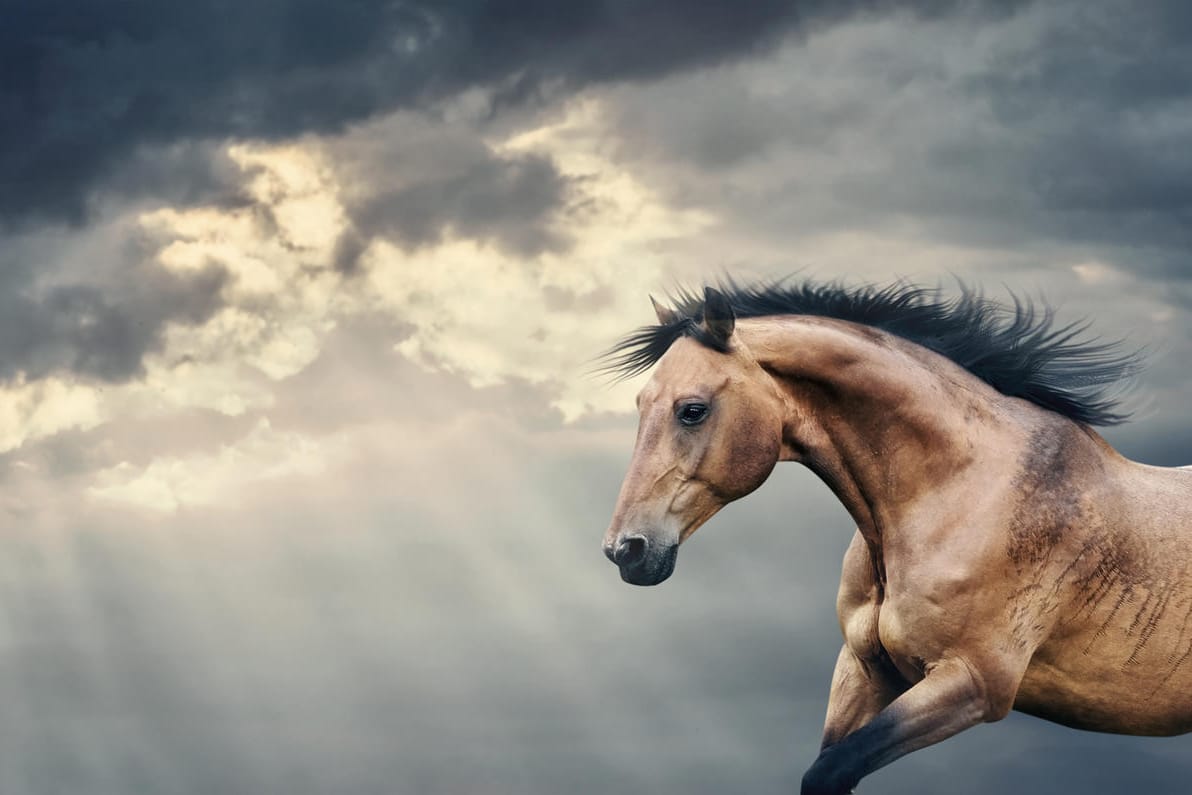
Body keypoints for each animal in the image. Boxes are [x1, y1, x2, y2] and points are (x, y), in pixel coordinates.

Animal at [600, 280, 1192, 795]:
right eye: (642, 406)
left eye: (692, 410)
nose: (625, 550)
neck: (959, 492)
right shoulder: (866, 670)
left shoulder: (972, 682)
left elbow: (831, 771)